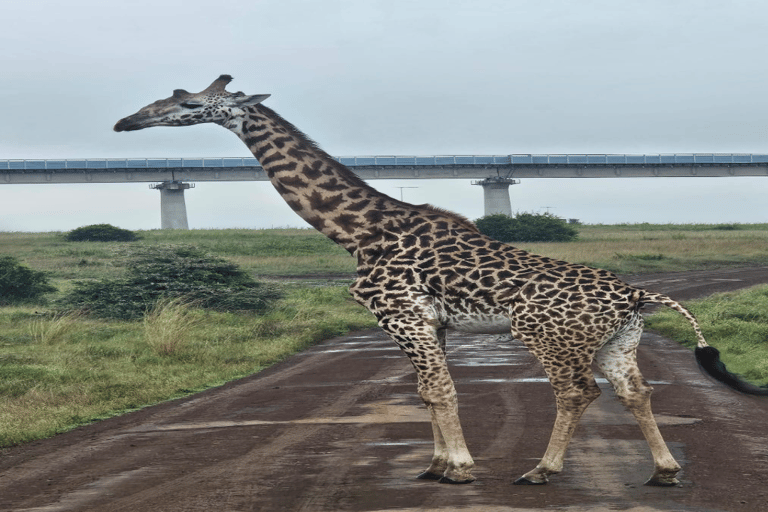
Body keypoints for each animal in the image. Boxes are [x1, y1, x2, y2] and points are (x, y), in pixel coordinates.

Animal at [114, 76, 768, 488]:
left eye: (186, 104)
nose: (126, 121)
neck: (358, 231)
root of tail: (635, 294)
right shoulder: (432, 321)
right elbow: (428, 393)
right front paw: (433, 465)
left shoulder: (401, 314)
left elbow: (441, 391)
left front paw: (458, 467)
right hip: (616, 340)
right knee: (636, 392)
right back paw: (664, 472)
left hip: (547, 335)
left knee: (577, 392)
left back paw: (542, 471)